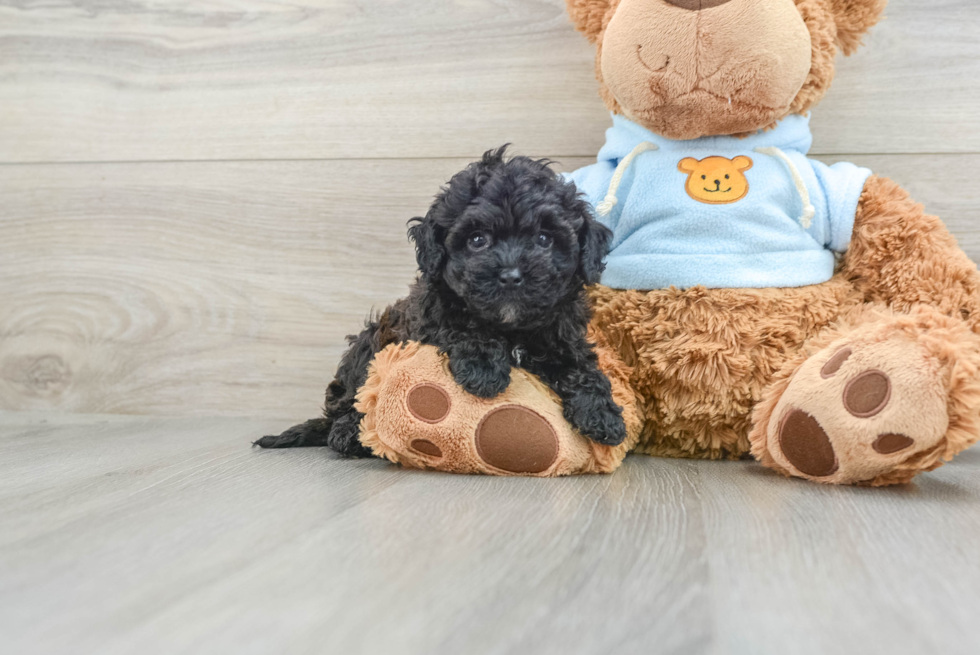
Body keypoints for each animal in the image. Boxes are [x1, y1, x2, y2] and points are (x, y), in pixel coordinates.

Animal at [255, 147, 628, 456]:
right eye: (477, 239)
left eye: (544, 239)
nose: (511, 275)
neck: (509, 328)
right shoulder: (428, 318)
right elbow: (461, 327)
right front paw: (483, 369)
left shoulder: (562, 337)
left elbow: (582, 368)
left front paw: (603, 415)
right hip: (366, 349)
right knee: (352, 405)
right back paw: (348, 434)